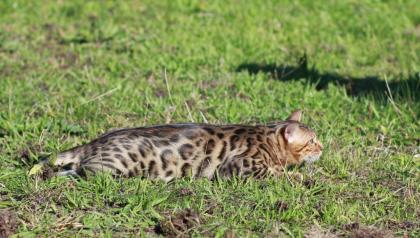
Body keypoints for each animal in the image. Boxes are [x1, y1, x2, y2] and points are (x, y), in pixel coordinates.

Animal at [45, 109, 322, 180]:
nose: (322, 148)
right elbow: (277, 172)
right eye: (311, 141)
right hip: (121, 164)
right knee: (84, 171)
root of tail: (91, 143)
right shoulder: (239, 167)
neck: (267, 137)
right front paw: (297, 176)